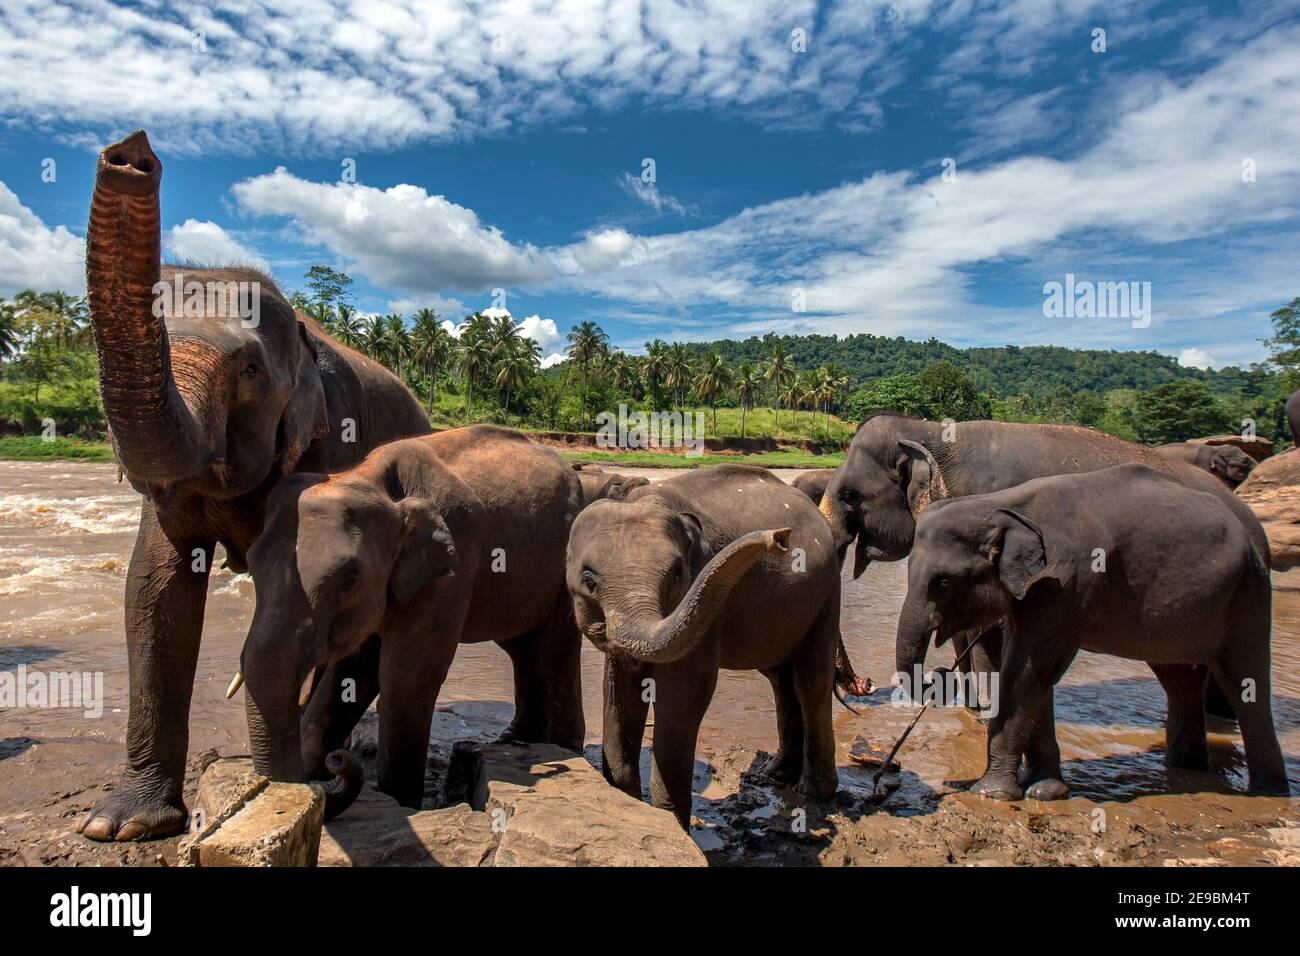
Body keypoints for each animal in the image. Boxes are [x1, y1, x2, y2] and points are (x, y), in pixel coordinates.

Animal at [78, 130, 428, 842]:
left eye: (248, 370)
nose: (131, 153)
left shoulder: (336, 436)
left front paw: (306, 777)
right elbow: (155, 587)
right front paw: (122, 825)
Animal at [239, 424, 585, 816]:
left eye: (348, 580)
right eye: (251, 564)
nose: (337, 760)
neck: (369, 478)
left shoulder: (452, 564)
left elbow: (405, 675)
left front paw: (400, 801)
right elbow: (355, 669)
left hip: (565, 567)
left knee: (557, 649)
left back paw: (564, 748)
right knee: (522, 647)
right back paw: (519, 739)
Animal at [569, 465, 842, 832]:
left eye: (676, 575)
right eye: (589, 582)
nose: (780, 539)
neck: (646, 497)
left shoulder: (707, 599)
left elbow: (682, 694)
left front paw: (670, 821)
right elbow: (620, 688)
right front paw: (626, 797)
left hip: (828, 587)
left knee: (811, 679)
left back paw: (813, 792)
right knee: (780, 678)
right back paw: (777, 774)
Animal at [821, 416, 1268, 723]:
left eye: (850, 496)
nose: (866, 685)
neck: (926, 430)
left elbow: (991, 631)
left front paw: (985, 712)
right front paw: (972, 709)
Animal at [894, 463, 1289, 801]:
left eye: (943, 581)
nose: (938, 675)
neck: (1001, 503)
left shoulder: (1068, 583)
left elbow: (1029, 671)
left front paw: (991, 793)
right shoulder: (1039, 589)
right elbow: (1034, 675)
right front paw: (1044, 790)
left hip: (1248, 593)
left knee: (1245, 683)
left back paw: (1267, 792)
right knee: (1181, 680)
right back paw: (1184, 771)